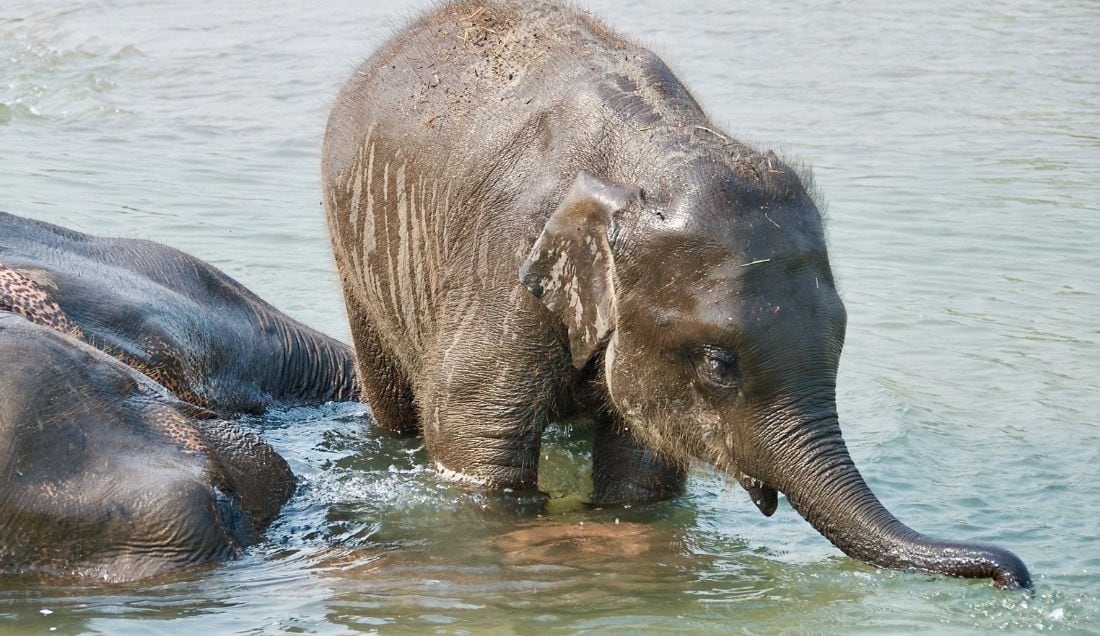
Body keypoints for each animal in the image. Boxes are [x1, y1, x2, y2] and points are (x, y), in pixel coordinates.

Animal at [322, 0, 1030, 589]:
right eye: (720, 364)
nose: (1017, 574)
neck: (647, 155)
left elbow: (642, 472)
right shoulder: (502, 267)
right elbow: (475, 445)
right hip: (353, 255)